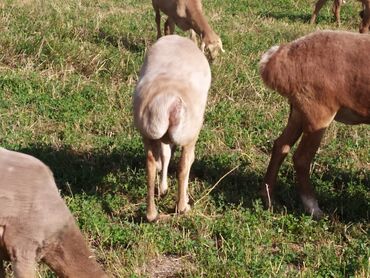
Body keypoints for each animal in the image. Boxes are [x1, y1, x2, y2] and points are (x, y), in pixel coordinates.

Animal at [258, 30, 370, 219]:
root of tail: (277, 57)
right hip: (318, 113)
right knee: (301, 158)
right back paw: (313, 209)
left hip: (297, 111)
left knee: (281, 145)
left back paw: (271, 200)